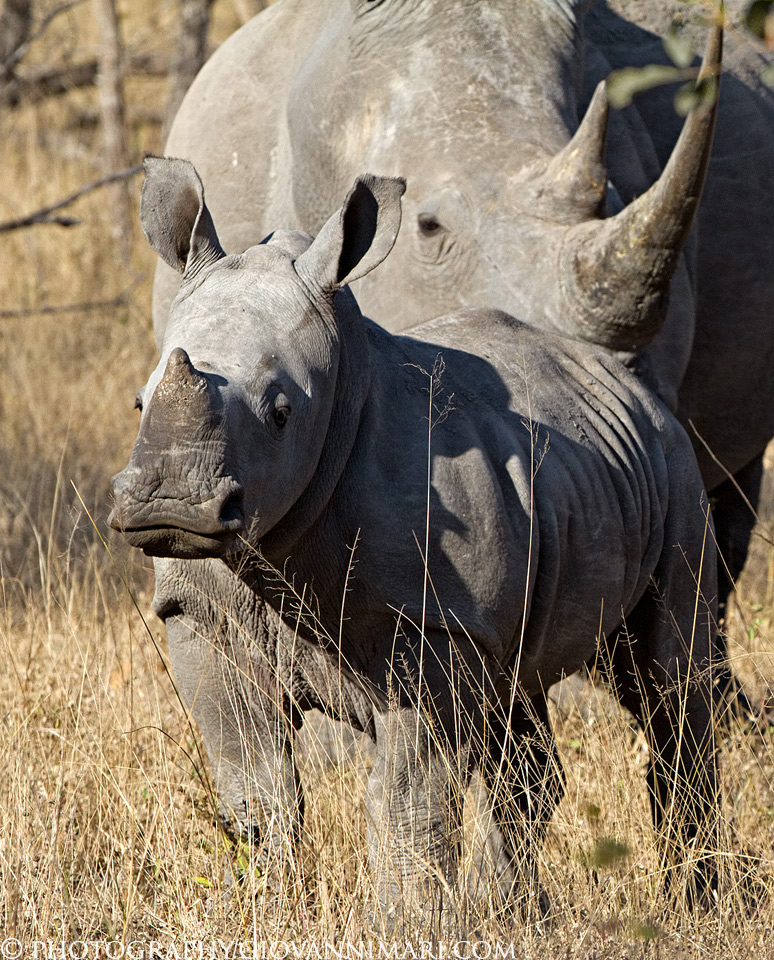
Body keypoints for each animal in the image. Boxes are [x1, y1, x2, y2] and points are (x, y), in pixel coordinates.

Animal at [110, 159, 721, 916]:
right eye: (140, 401)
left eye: (281, 412)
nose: (168, 505)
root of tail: (631, 386)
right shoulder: (203, 610)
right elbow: (255, 786)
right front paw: (262, 908)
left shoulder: (432, 617)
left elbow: (407, 797)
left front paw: (408, 921)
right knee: (520, 710)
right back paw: (518, 914)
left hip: (675, 466)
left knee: (670, 684)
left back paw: (696, 905)